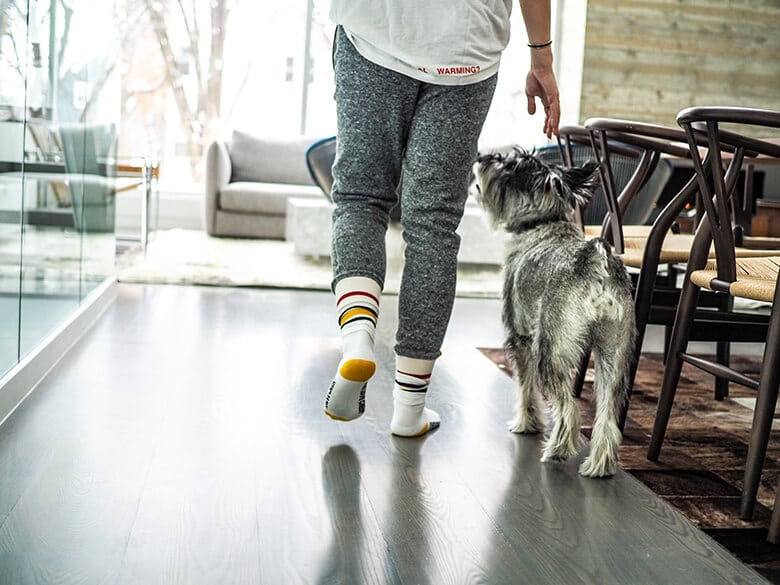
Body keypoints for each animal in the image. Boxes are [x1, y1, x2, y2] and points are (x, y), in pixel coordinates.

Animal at [472, 148, 636, 476]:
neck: (542, 223)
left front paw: (526, 423)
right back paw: (599, 465)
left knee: (568, 407)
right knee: (606, 416)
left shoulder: (520, 339)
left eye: (508, 165)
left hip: (551, 351)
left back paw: (557, 450)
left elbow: (524, 388)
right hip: (614, 356)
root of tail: (597, 261)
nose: (482, 157)